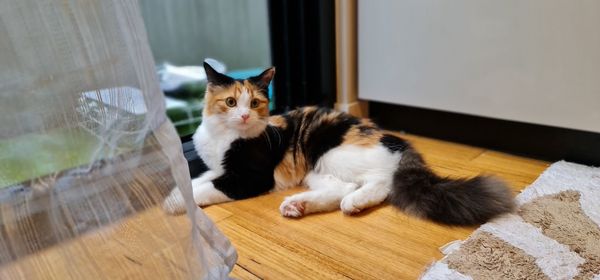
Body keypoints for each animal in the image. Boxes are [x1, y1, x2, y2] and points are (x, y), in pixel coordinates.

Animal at [164, 61, 516, 225]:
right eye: (230, 102)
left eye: (255, 103)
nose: (245, 116)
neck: (223, 136)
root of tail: (402, 145)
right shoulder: (219, 167)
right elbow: (200, 178)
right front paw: (171, 194)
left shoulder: (248, 177)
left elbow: (206, 189)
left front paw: (173, 203)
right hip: (318, 169)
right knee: (341, 189)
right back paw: (298, 205)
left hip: (335, 153)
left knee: (379, 184)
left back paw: (354, 202)